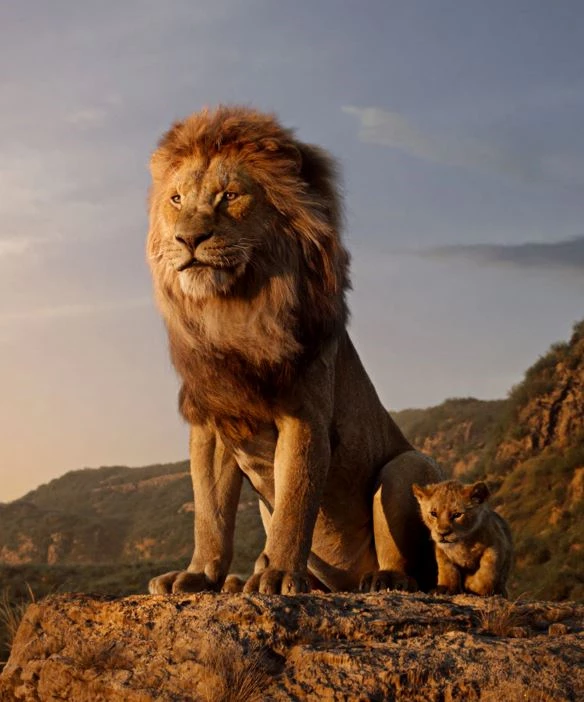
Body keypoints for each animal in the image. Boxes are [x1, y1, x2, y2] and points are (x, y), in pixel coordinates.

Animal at [146, 105, 443, 595]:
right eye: (176, 200)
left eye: (229, 196)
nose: (188, 239)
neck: (232, 311)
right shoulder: (212, 422)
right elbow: (210, 514)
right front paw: (199, 575)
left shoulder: (305, 416)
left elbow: (295, 503)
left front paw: (280, 574)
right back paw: (240, 581)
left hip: (406, 466)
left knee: (411, 565)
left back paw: (382, 579)